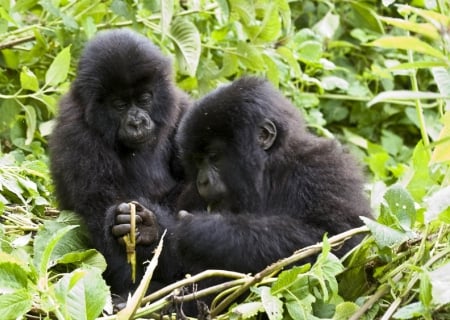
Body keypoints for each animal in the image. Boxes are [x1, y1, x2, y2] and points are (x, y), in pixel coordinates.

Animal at [49, 29, 190, 298]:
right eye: (120, 104)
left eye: (144, 99)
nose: (136, 122)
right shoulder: (77, 134)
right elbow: (99, 207)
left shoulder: (183, 110)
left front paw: (149, 228)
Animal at [113, 77, 372, 288]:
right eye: (197, 160)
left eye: (214, 156)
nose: (202, 181)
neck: (269, 171)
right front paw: (149, 227)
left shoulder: (325, 169)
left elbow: (340, 243)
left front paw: (207, 232)